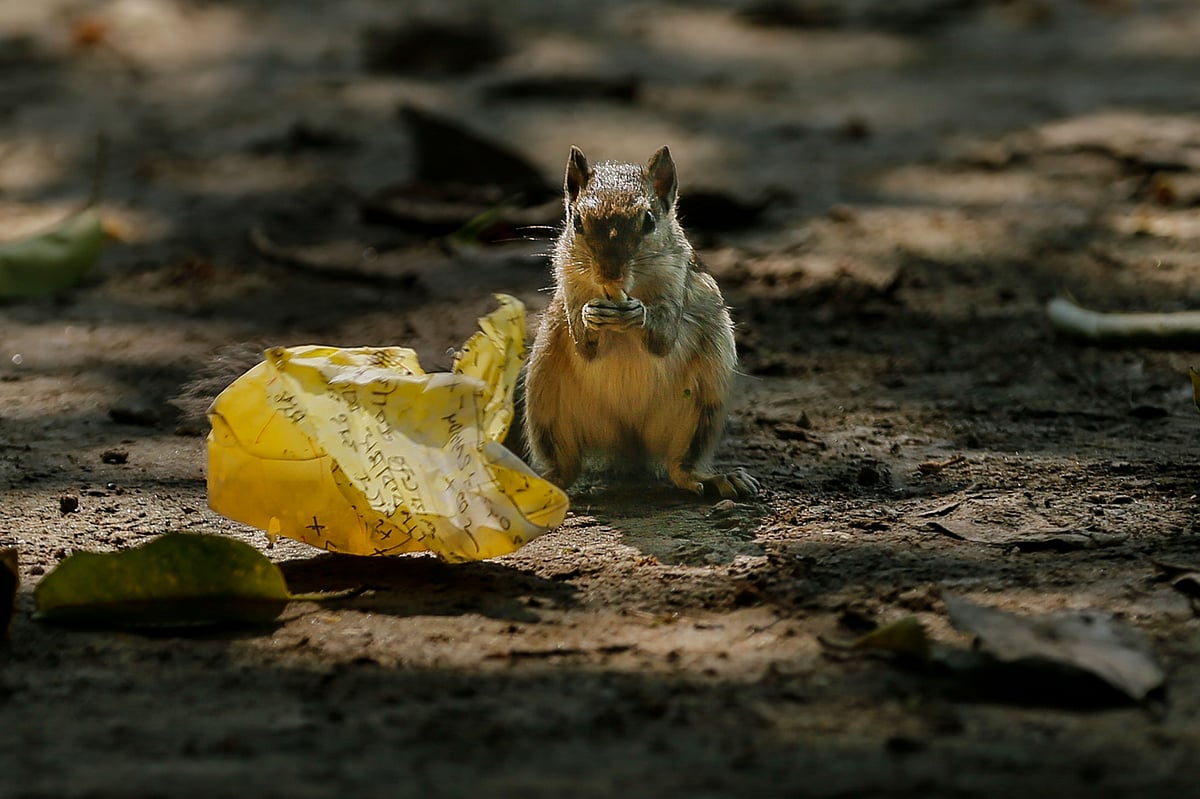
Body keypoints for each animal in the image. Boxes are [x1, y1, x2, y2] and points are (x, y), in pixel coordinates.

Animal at [521, 145, 758, 500]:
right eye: (577, 222)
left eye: (648, 220)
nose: (610, 274)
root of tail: (629, 441)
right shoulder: (568, 284)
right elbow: (583, 342)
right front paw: (589, 317)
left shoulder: (678, 281)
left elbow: (663, 337)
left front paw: (639, 314)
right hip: (545, 401)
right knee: (566, 467)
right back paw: (541, 481)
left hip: (703, 405)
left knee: (681, 467)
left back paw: (715, 479)